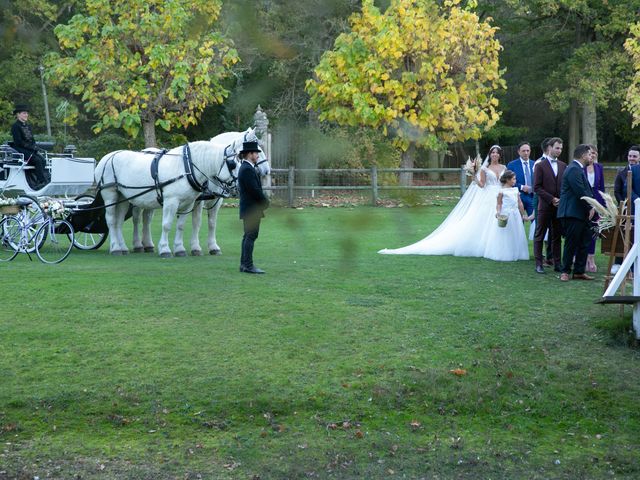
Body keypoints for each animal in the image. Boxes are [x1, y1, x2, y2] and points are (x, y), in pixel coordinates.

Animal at [94, 141, 236, 256]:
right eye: (233, 164)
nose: (237, 188)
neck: (186, 167)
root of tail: (107, 157)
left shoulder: (188, 203)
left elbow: (181, 225)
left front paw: (179, 249)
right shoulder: (171, 201)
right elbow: (167, 225)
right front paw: (165, 249)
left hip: (123, 197)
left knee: (119, 221)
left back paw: (122, 247)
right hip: (110, 195)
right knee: (112, 220)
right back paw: (116, 248)